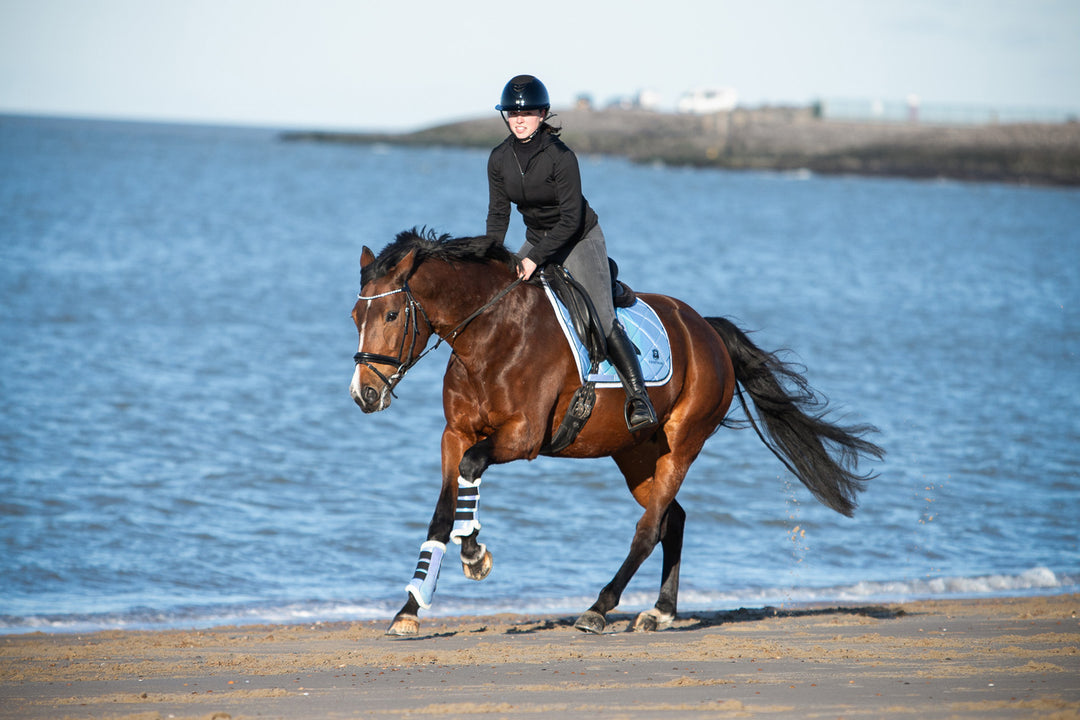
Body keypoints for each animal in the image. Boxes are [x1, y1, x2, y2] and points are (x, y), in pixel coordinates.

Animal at [349, 226, 881, 634]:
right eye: (357, 315)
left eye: (392, 314)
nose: (364, 394)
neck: (490, 335)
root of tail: (706, 330)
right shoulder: (455, 433)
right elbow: (444, 511)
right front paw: (411, 607)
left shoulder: (522, 438)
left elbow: (472, 468)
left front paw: (475, 553)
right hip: (636, 453)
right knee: (672, 519)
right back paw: (661, 612)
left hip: (681, 444)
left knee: (649, 529)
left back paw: (599, 608)